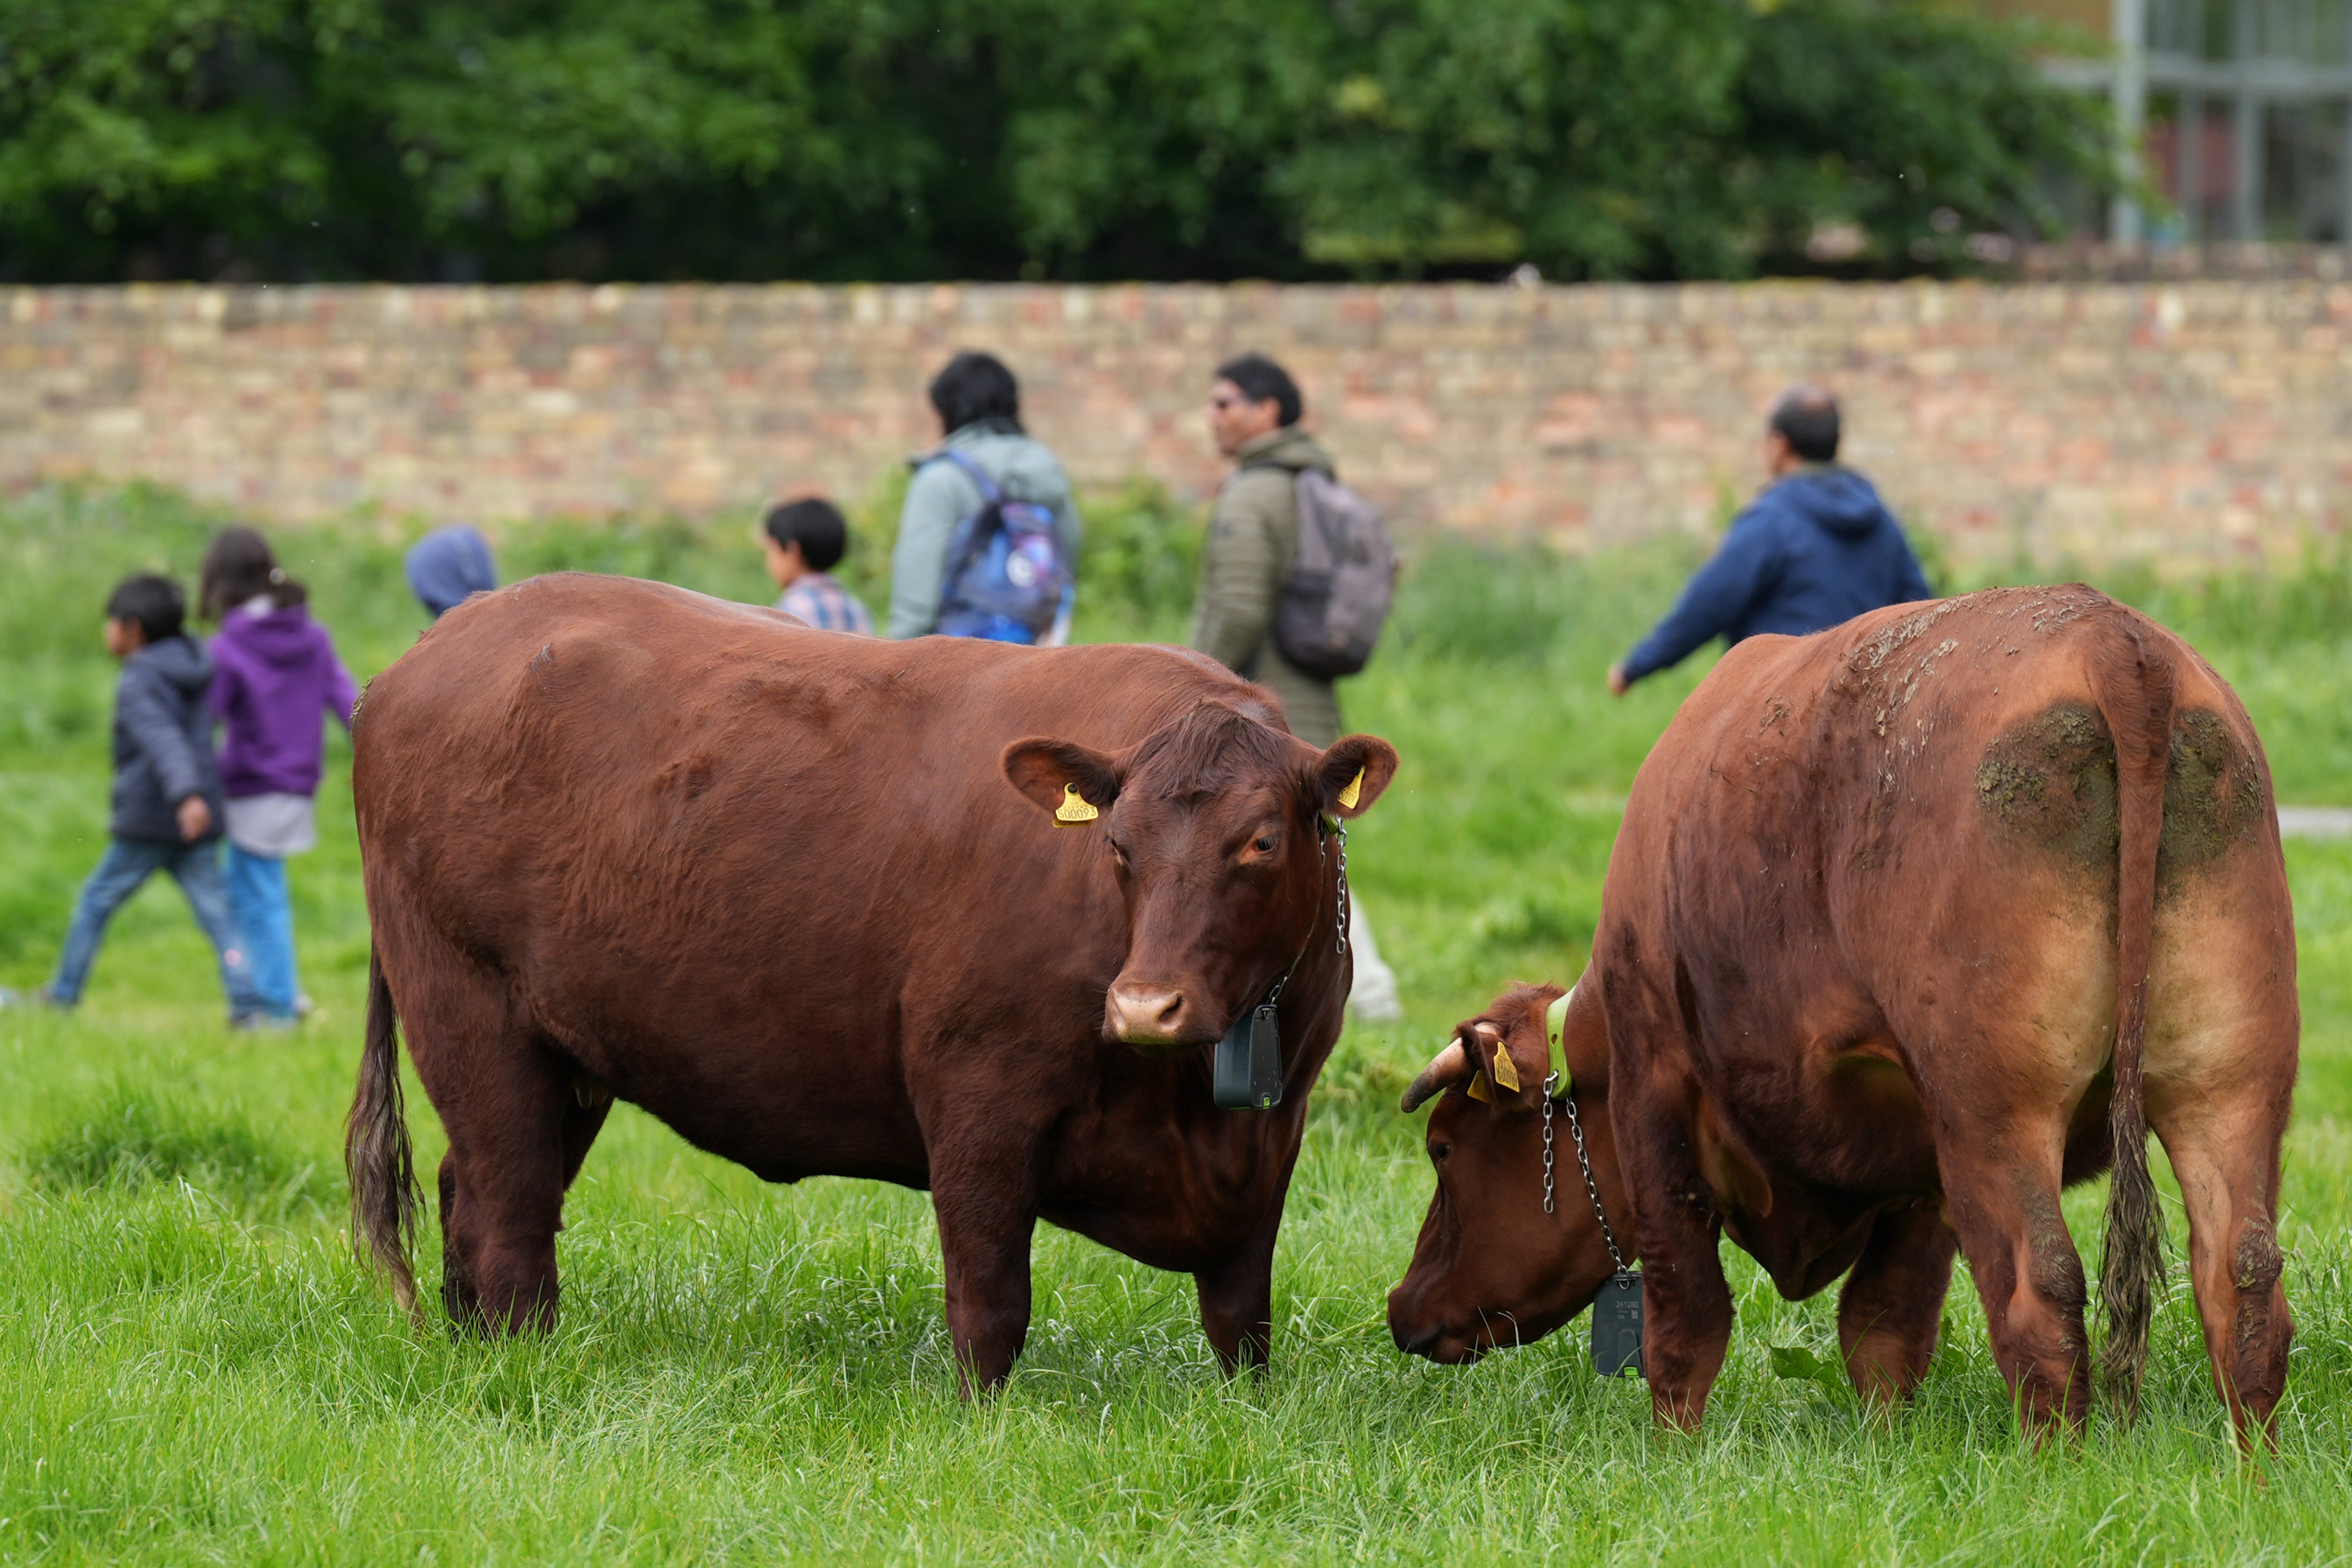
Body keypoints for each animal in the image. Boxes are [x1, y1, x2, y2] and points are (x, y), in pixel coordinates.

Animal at [343, 573, 1396, 1392]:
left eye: (1262, 842)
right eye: (1119, 846)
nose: (1145, 1006)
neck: (1188, 1100)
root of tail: (428, 650)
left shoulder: (1274, 1134)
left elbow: (1242, 1318)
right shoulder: (977, 1097)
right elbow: (991, 1301)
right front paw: (983, 1423)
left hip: (568, 1052)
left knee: (471, 1190)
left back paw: (473, 1348)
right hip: (468, 1008)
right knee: (508, 1213)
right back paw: (521, 1366)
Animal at [1386, 586, 2297, 1447]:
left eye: (1443, 1148)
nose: (1402, 1306)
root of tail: (2114, 638)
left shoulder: (1658, 1093)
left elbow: (1686, 1315)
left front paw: (1676, 1453)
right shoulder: (1919, 1165)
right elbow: (1884, 1328)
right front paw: (1884, 1448)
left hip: (1997, 1113)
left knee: (2041, 1297)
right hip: (2228, 1088)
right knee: (2245, 1288)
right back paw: (2251, 1474)